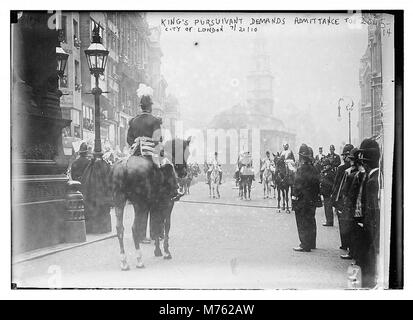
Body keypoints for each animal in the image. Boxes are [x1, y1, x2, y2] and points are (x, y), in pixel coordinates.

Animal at [111, 138, 192, 270]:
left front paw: (158, 251)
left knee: (120, 229)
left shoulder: (155, 205)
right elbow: (165, 225)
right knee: (135, 228)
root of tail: (125, 165)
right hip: (139, 205)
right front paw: (166, 252)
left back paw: (124, 262)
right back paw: (139, 260)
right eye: (186, 152)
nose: (184, 173)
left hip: (119, 202)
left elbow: (156, 225)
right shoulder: (168, 203)